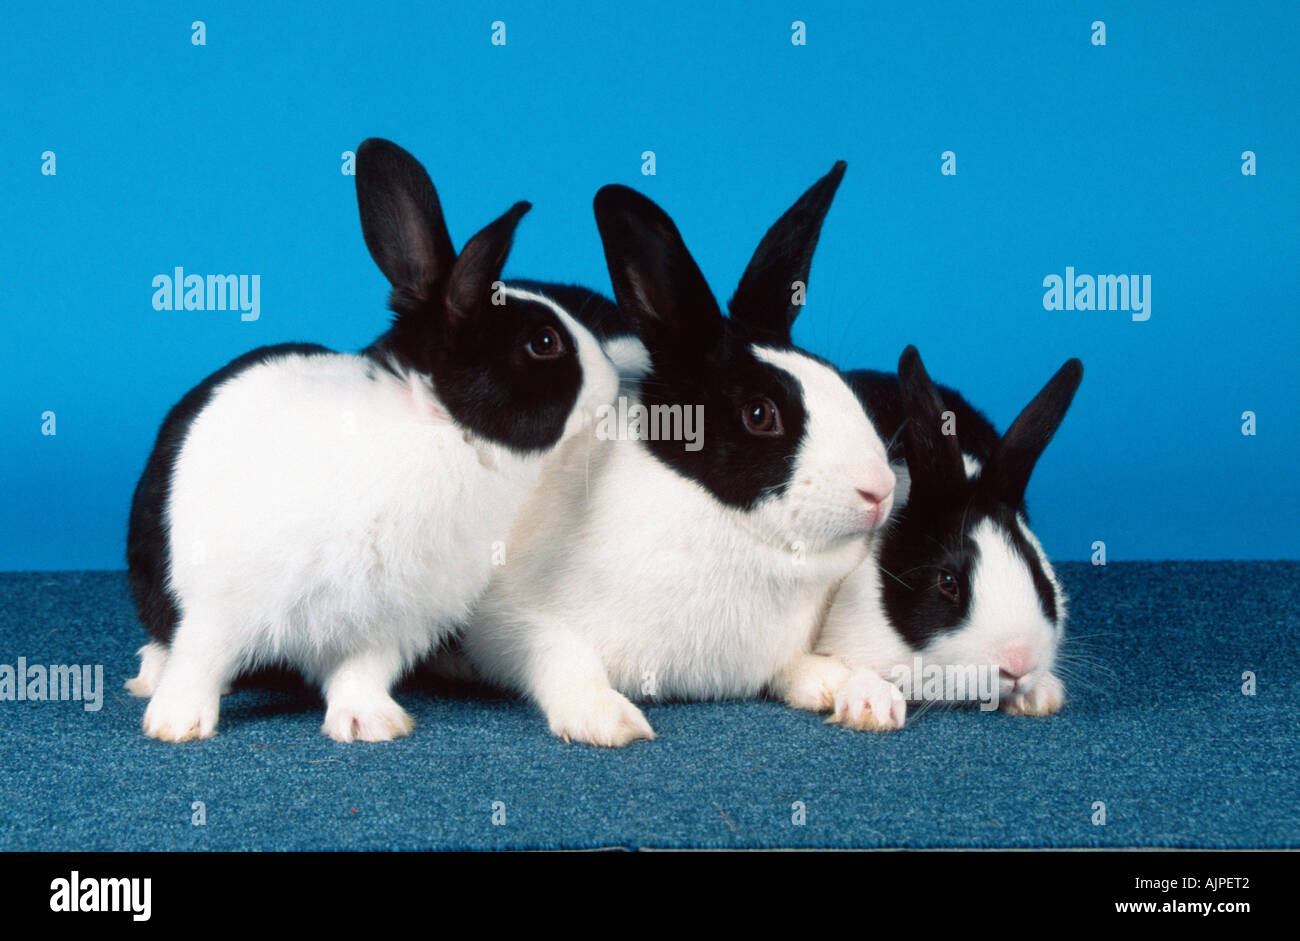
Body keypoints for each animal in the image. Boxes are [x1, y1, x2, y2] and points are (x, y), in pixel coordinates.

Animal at [124, 138, 619, 743]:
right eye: (543, 342)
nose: (612, 382)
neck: (438, 430)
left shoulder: (389, 623)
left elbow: (361, 673)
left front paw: (370, 724)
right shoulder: (221, 604)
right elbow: (201, 657)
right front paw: (177, 723)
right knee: (165, 635)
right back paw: (151, 677)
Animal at [457, 162, 898, 747]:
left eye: (836, 377)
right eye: (759, 414)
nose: (880, 491)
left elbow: (796, 664)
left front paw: (849, 689)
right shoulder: (509, 621)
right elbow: (560, 655)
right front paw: (606, 718)